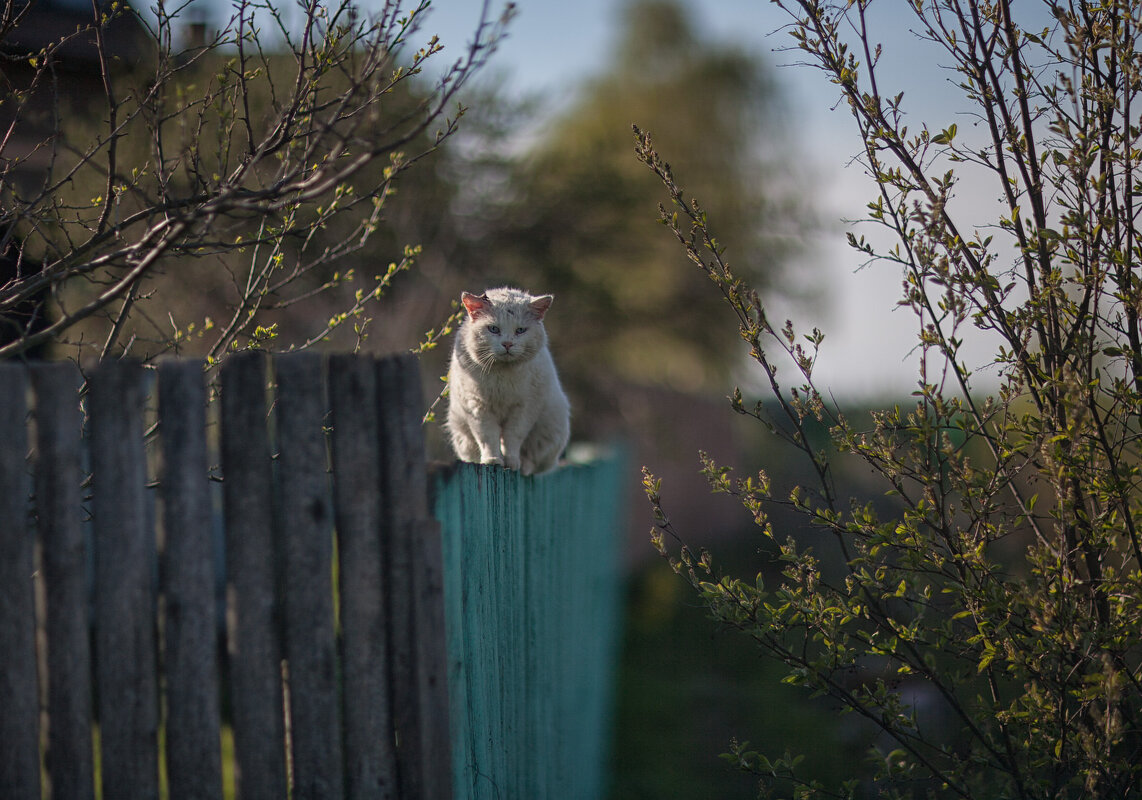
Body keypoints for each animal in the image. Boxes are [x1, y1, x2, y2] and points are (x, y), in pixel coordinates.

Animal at [445, 287, 571, 474]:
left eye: (520, 330)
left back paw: (524, 466)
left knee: (534, 461)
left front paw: (511, 462)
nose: (507, 344)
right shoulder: (477, 406)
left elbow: (513, 436)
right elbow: (487, 436)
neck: (502, 376)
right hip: (461, 434)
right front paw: (492, 460)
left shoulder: (525, 407)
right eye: (493, 329)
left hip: (551, 428)